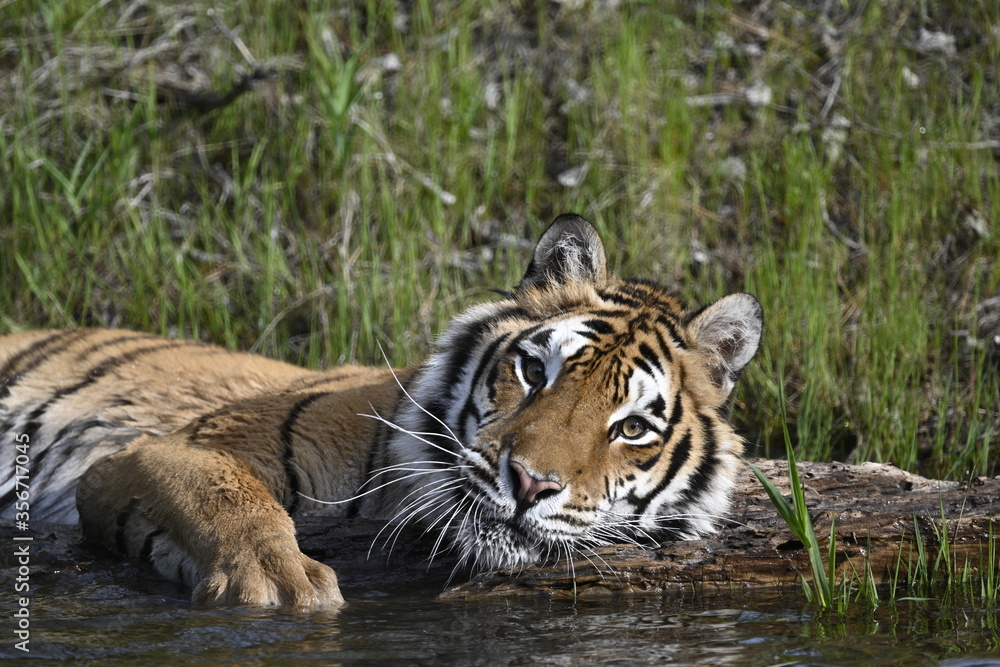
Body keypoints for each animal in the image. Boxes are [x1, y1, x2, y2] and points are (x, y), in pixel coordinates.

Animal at [0, 215, 763, 608]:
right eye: (534, 371)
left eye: (630, 427)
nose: (529, 485)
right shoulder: (154, 450)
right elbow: (226, 492)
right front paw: (280, 583)